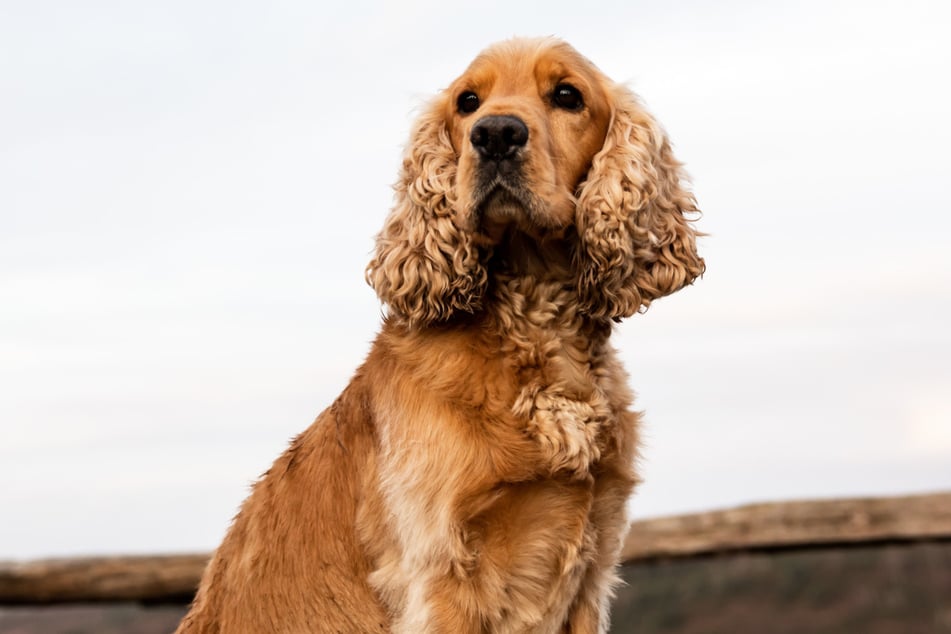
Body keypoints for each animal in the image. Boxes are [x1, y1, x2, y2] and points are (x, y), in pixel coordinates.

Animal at [177, 35, 700, 632]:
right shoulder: (440, 570)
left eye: (568, 95)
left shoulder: (594, 564)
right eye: (467, 102)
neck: (538, 327)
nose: (495, 134)